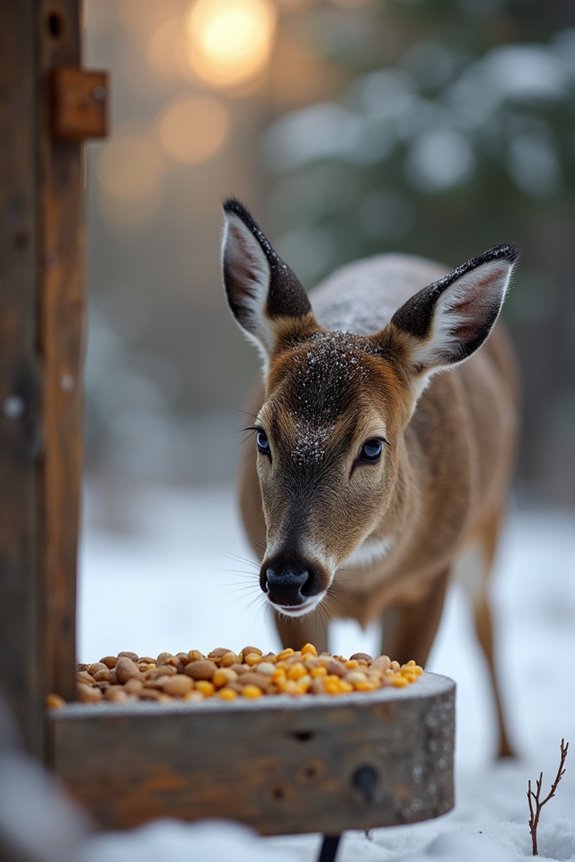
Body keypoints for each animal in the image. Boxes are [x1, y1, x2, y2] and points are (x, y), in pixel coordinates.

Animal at [221, 198, 518, 758]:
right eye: (262, 436)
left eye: (373, 445)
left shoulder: (430, 577)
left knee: (486, 622)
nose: (289, 577)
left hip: (489, 516)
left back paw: (509, 754)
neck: (358, 578)